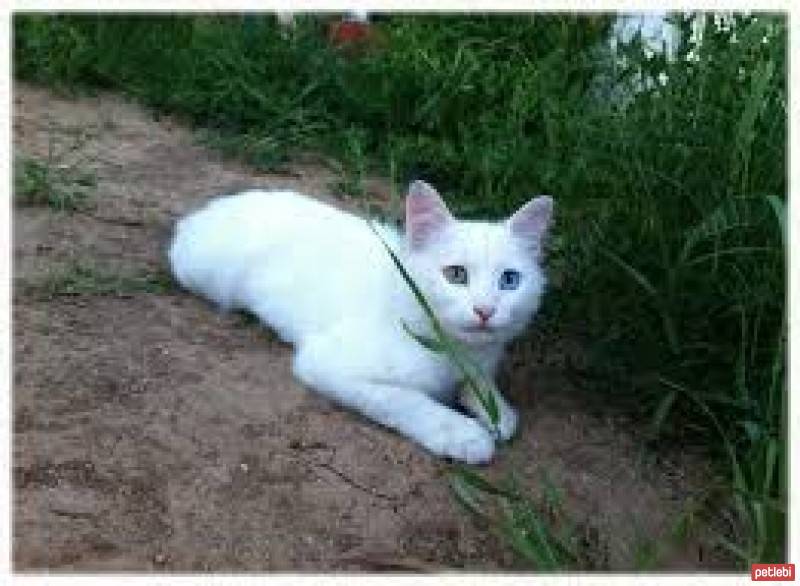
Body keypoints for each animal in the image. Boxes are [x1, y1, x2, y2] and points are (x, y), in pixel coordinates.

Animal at [170, 180, 552, 464]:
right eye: (456, 275)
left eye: (510, 280)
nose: (485, 310)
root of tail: (206, 210)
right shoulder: (325, 363)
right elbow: (406, 400)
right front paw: (460, 432)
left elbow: (478, 384)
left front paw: (497, 411)